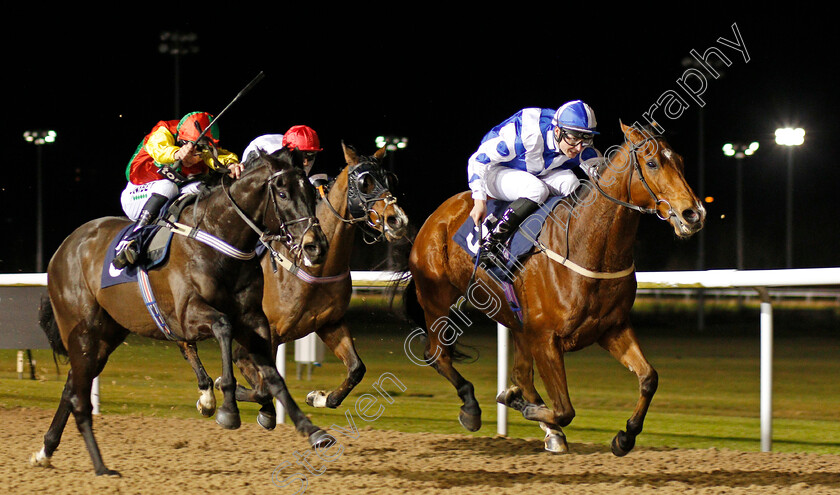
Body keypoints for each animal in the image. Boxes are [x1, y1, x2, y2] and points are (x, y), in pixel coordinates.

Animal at [29, 148, 332, 476]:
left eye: (311, 191)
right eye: (283, 193)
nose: (316, 246)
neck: (219, 238)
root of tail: (64, 248)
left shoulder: (254, 321)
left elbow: (272, 380)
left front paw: (313, 430)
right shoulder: (188, 316)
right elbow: (223, 327)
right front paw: (227, 408)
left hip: (106, 335)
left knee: (72, 387)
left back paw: (46, 451)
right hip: (82, 330)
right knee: (79, 396)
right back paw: (101, 467)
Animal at [180, 142, 410, 430]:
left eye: (389, 179)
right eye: (364, 182)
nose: (397, 220)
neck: (313, 267)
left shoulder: (329, 323)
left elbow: (356, 368)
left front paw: (319, 397)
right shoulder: (264, 334)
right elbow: (261, 383)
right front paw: (235, 392)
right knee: (185, 341)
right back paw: (207, 396)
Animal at [404, 123, 704, 458]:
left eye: (680, 160)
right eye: (652, 163)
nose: (694, 214)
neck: (587, 246)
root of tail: (436, 216)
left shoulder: (611, 328)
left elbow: (649, 377)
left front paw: (624, 437)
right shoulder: (546, 338)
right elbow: (564, 409)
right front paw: (520, 404)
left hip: (515, 321)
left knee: (520, 373)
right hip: (436, 300)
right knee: (438, 355)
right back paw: (472, 407)